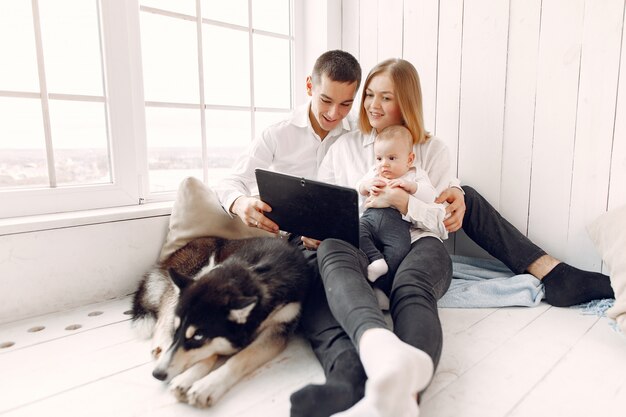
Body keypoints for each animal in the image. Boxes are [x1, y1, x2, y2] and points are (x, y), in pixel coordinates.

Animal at [130, 236, 310, 408]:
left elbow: (240, 357)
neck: (259, 274)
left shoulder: (278, 329)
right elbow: (209, 352)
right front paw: (189, 376)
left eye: (198, 337)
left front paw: (206, 386)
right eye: (176, 331)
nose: (157, 374)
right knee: (163, 313)